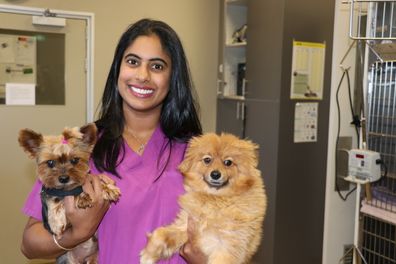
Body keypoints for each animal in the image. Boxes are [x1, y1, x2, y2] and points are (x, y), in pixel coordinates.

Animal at [18, 124, 120, 264]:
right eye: (50, 162)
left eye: (75, 160)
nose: (64, 178)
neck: (67, 188)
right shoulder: (48, 193)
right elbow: (55, 200)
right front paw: (57, 221)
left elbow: (96, 179)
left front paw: (109, 189)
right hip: (67, 260)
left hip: (95, 258)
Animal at [141, 134, 268, 264]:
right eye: (207, 160)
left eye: (228, 162)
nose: (215, 174)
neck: (215, 198)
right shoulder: (185, 225)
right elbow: (160, 233)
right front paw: (148, 255)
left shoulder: (227, 247)